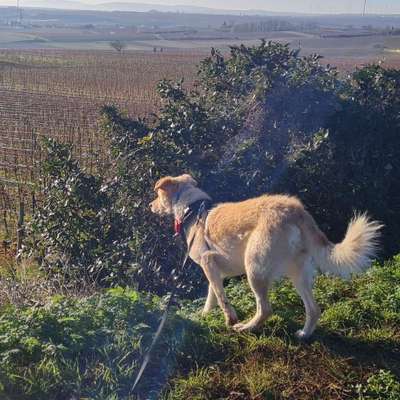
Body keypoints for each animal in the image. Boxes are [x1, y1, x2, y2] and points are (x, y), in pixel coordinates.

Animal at [149, 173, 382, 340]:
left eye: (157, 195)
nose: (150, 205)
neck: (192, 209)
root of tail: (296, 210)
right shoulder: (215, 271)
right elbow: (212, 296)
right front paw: (205, 316)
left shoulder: (209, 262)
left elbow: (222, 299)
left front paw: (229, 320)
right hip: (297, 274)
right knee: (314, 309)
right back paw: (304, 334)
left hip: (254, 269)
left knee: (265, 309)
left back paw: (246, 328)